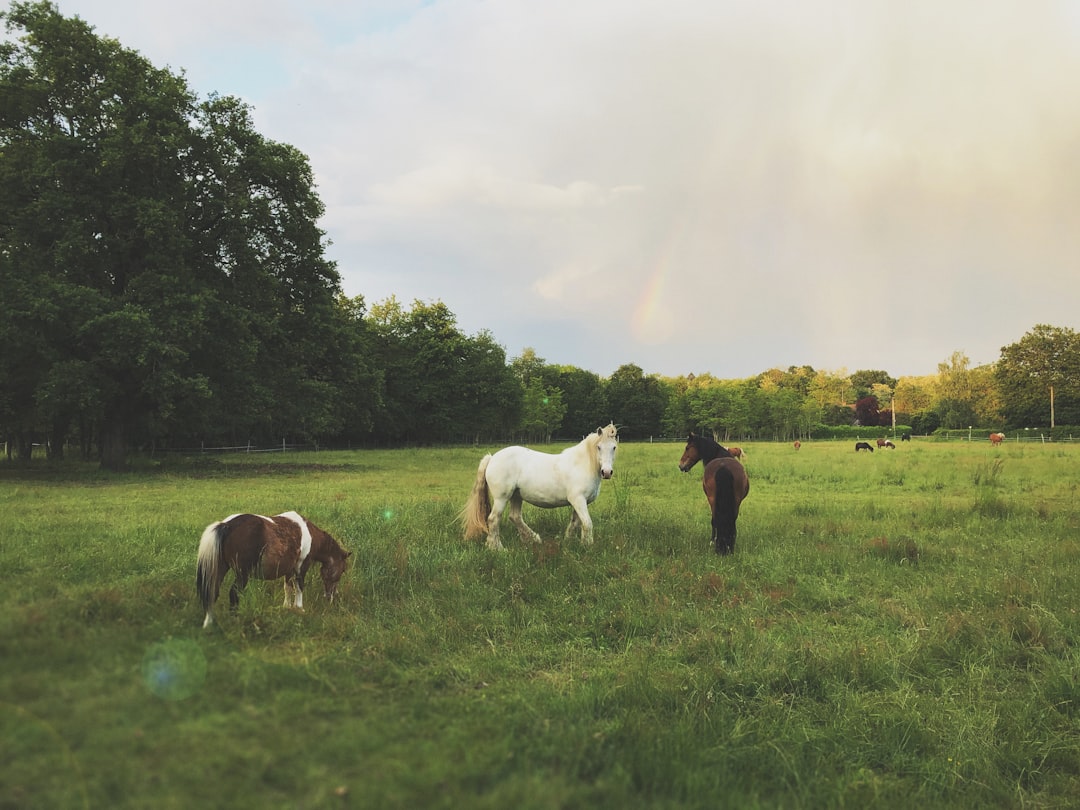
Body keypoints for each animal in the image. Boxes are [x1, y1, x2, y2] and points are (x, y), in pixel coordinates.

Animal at [193, 514, 345, 626]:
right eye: (342, 571)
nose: (331, 596)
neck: (309, 533)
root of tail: (227, 525)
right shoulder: (301, 566)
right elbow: (299, 587)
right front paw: (300, 608)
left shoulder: (289, 569)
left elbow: (288, 587)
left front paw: (287, 607)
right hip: (242, 575)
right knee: (233, 593)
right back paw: (234, 619)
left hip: (220, 569)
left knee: (212, 591)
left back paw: (209, 623)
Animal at [460, 425, 622, 552]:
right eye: (599, 447)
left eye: (614, 447)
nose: (607, 472)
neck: (582, 465)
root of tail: (492, 458)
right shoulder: (578, 500)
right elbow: (587, 523)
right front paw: (588, 546)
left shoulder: (581, 502)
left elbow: (575, 523)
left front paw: (569, 541)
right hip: (502, 498)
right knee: (493, 519)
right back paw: (498, 548)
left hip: (516, 496)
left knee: (515, 517)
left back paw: (533, 539)